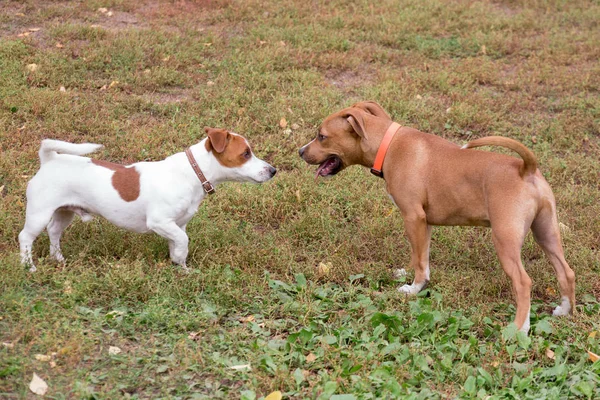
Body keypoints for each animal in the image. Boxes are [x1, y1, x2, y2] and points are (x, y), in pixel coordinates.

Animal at [18, 128, 276, 272]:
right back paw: (28, 266)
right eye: (246, 153)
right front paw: (181, 262)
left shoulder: (177, 225)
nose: (273, 170)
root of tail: (49, 159)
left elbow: (178, 244)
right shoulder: (160, 222)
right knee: (25, 237)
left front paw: (181, 268)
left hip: (65, 212)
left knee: (54, 231)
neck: (192, 172)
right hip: (39, 214)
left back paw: (58, 258)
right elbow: (184, 241)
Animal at [300, 101, 576, 332]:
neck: (388, 146)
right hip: (546, 233)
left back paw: (519, 329)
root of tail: (525, 168)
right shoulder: (425, 224)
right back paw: (565, 310)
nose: (301, 151)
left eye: (322, 136)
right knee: (566, 272)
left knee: (523, 282)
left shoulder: (413, 217)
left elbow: (420, 263)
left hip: (505, 240)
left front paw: (414, 288)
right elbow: (421, 256)